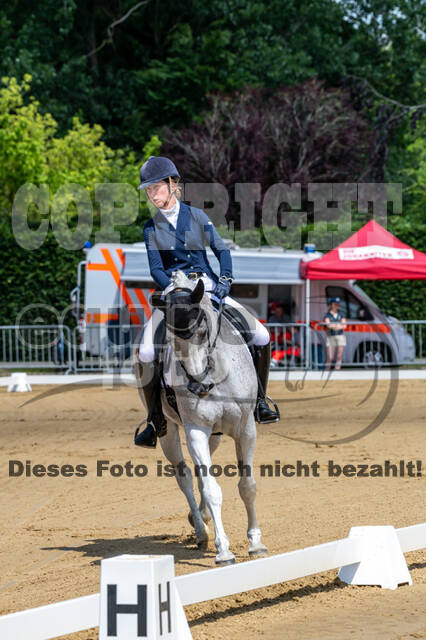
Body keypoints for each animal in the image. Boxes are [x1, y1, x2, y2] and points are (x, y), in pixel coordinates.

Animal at [136, 270, 267, 565]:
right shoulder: (196, 429)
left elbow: (248, 485)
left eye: (204, 331)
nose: (199, 387)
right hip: (170, 431)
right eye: (169, 340)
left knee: (199, 471)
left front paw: (255, 543)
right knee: (184, 476)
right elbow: (211, 488)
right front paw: (223, 550)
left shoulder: (246, 429)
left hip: (216, 435)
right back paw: (200, 530)